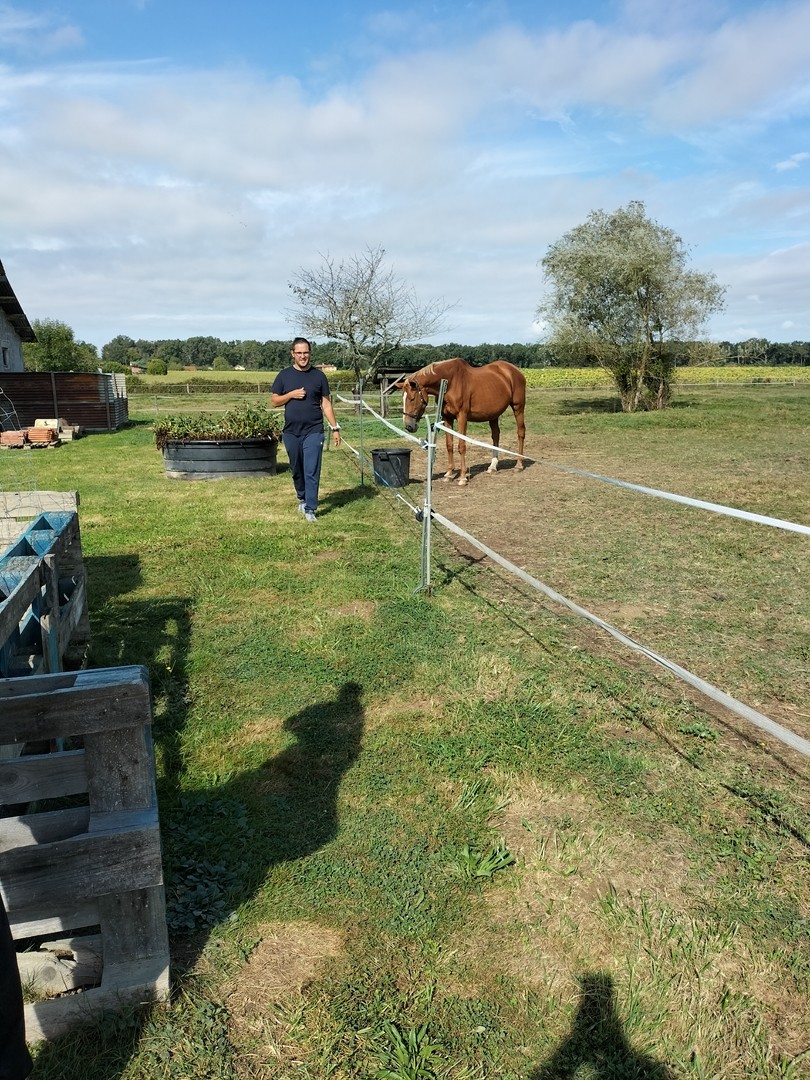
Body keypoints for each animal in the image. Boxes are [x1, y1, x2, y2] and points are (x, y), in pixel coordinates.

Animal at [399, 358, 527, 486]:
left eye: (412, 399)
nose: (408, 426)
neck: (450, 383)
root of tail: (515, 370)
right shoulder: (447, 418)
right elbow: (449, 445)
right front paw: (449, 474)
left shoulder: (462, 417)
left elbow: (461, 446)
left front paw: (462, 477)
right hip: (493, 414)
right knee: (496, 435)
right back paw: (493, 466)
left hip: (518, 408)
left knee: (521, 432)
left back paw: (519, 465)